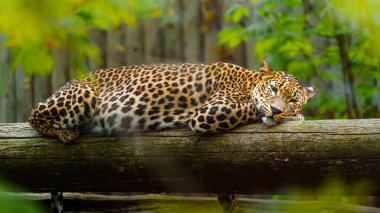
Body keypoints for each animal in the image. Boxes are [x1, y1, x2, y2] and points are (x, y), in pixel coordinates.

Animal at [29, 59, 314, 212]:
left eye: (292, 100)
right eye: (273, 89)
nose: (278, 110)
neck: (248, 80)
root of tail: (67, 83)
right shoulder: (210, 112)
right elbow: (252, 108)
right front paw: (294, 117)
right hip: (83, 95)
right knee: (33, 116)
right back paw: (66, 132)